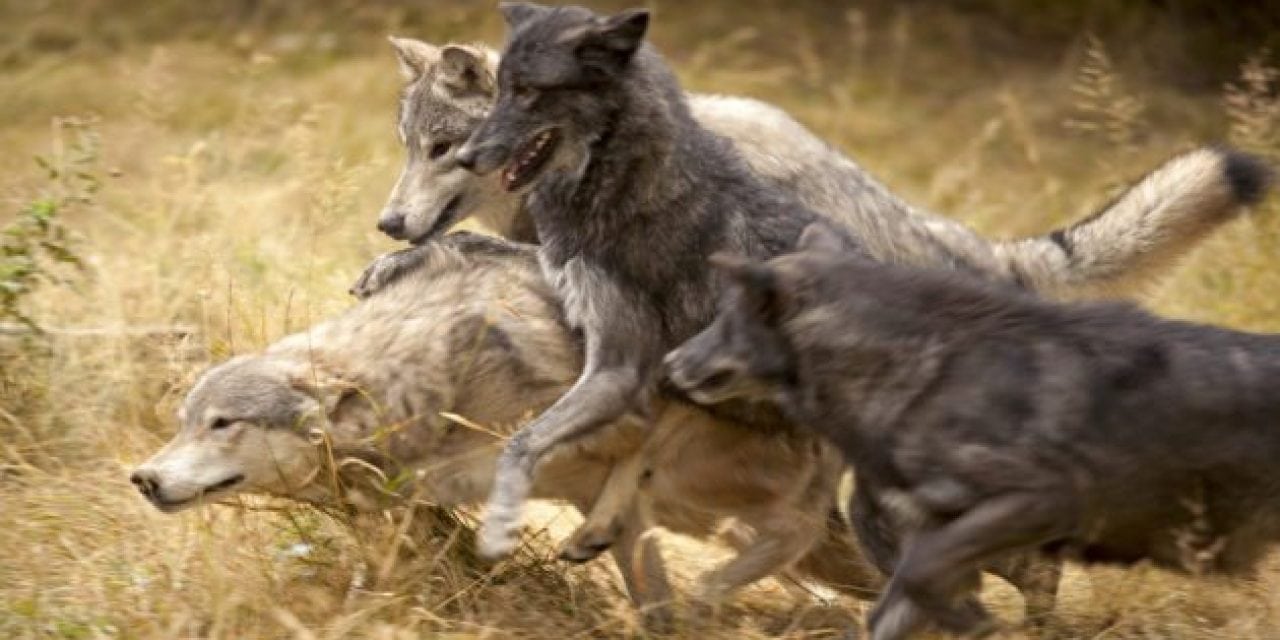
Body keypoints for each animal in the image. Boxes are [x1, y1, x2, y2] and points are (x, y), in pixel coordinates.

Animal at [660, 224, 1280, 640]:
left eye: (726, 318)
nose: (669, 365)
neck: (921, 374)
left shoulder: (1038, 503)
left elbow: (921, 582)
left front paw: (978, 622)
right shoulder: (930, 537)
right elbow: (894, 606)